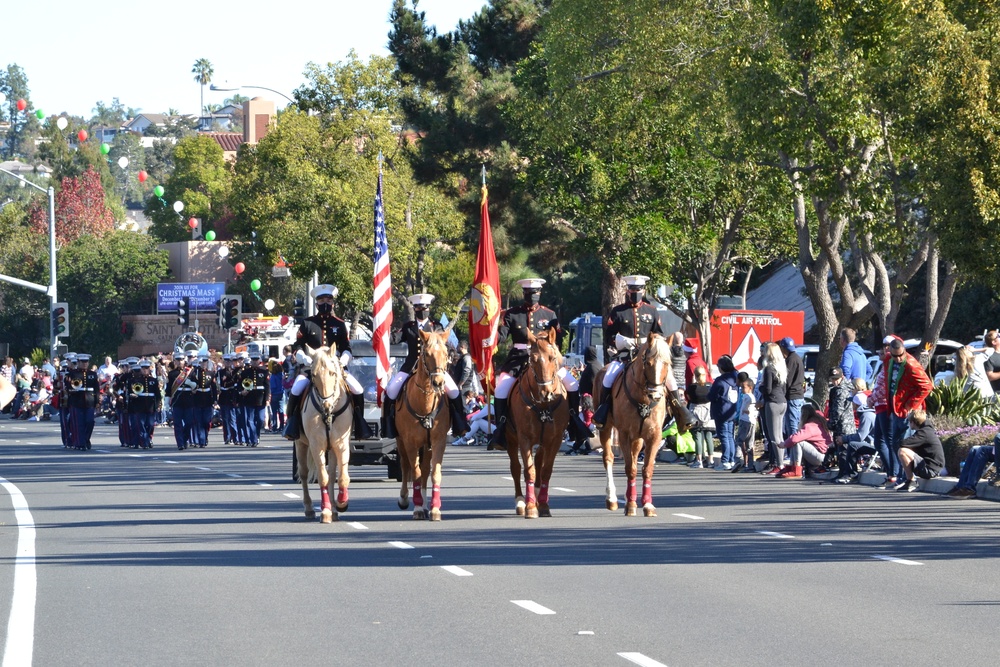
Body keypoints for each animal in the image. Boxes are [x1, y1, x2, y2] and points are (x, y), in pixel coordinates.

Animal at [294, 348, 354, 524]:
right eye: (313, 375)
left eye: (332, 373)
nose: (326, 405)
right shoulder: (316, 445)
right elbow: (323, 477)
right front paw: (325, 511)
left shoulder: (341, 445)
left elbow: (342, 477)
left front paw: (341, 503)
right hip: (300, 444)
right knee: (304, 474)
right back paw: (310, 508)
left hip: (332, 449)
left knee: (333, 474)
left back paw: (334, 509)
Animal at [396, 328, 456, 520]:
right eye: (427, 354)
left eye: (445, 353)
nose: (438, 382)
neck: (425, 403)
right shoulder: (410, 442)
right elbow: (414, 473)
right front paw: (416, 508)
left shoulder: (438, 441)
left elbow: (434, 473)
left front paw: (435, 508)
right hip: (401, 442)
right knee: (405, 465)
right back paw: (406, 499)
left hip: (426, 446)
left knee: (424, 470)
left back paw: (424, 503)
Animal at [504, 326, 568, 520]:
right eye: (532, 360)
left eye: (553, 357)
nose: (546, 393)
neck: (543, 406)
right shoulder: (524, 438)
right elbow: (528, 471)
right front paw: (531, 507)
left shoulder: (555, 440)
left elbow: (545, 471)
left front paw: (544, 505)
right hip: (511, 438)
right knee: (516, 468)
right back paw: (521, 501)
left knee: (539, 464)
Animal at [592, 332, 672, 516]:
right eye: (648, 363)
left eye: (667, 363)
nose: (656, 394)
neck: (643, 399)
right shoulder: (624, 434)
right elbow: (630, 468)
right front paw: (630, 505)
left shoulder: (654, 436)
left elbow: (647, 468)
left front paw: (647, 504)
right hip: (606, 428)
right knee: (608, 458)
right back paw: (612, 499)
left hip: (638, 438)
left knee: (635, 457)